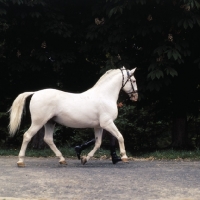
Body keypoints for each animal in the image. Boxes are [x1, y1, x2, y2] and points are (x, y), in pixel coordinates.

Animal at [9, 67, 138, 166]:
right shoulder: (107, 123)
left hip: (50, 122)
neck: (104, 96)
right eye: (133, 80)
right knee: (27, 136)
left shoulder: (99, 126)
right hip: (38, 122)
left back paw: (62, 160)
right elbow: (120, 137)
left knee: (48, 139)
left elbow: (98, 143)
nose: (135, 97)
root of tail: (35, 93)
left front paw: (84, 159)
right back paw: (20, 161)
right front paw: (124, 157)